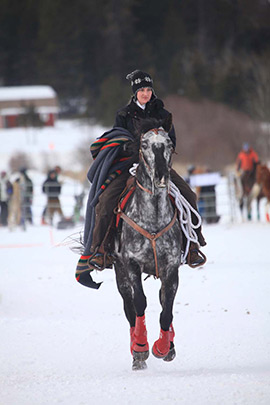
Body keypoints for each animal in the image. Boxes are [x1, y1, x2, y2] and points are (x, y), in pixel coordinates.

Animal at [113, 115, 182, 370]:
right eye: (144, 144)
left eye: (169, 143)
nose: (161, 176)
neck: (152, 220)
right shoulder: (131, 264)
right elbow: (140, 303)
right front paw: (141, 348)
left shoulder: (171, 267)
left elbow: (167, 308)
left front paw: (163, 347)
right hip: (120, 274)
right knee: (129, 308)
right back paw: (136, 351)